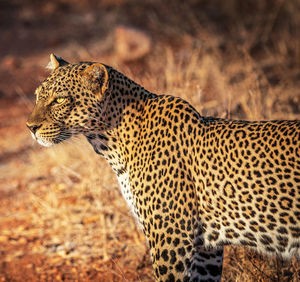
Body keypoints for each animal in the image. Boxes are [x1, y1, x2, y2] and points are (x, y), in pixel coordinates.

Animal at [27, 54, 298, 280]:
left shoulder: (171, 237)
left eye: (60, 100)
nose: (30, 127)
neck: (111, 144)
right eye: (37, 96)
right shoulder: (206, 248)